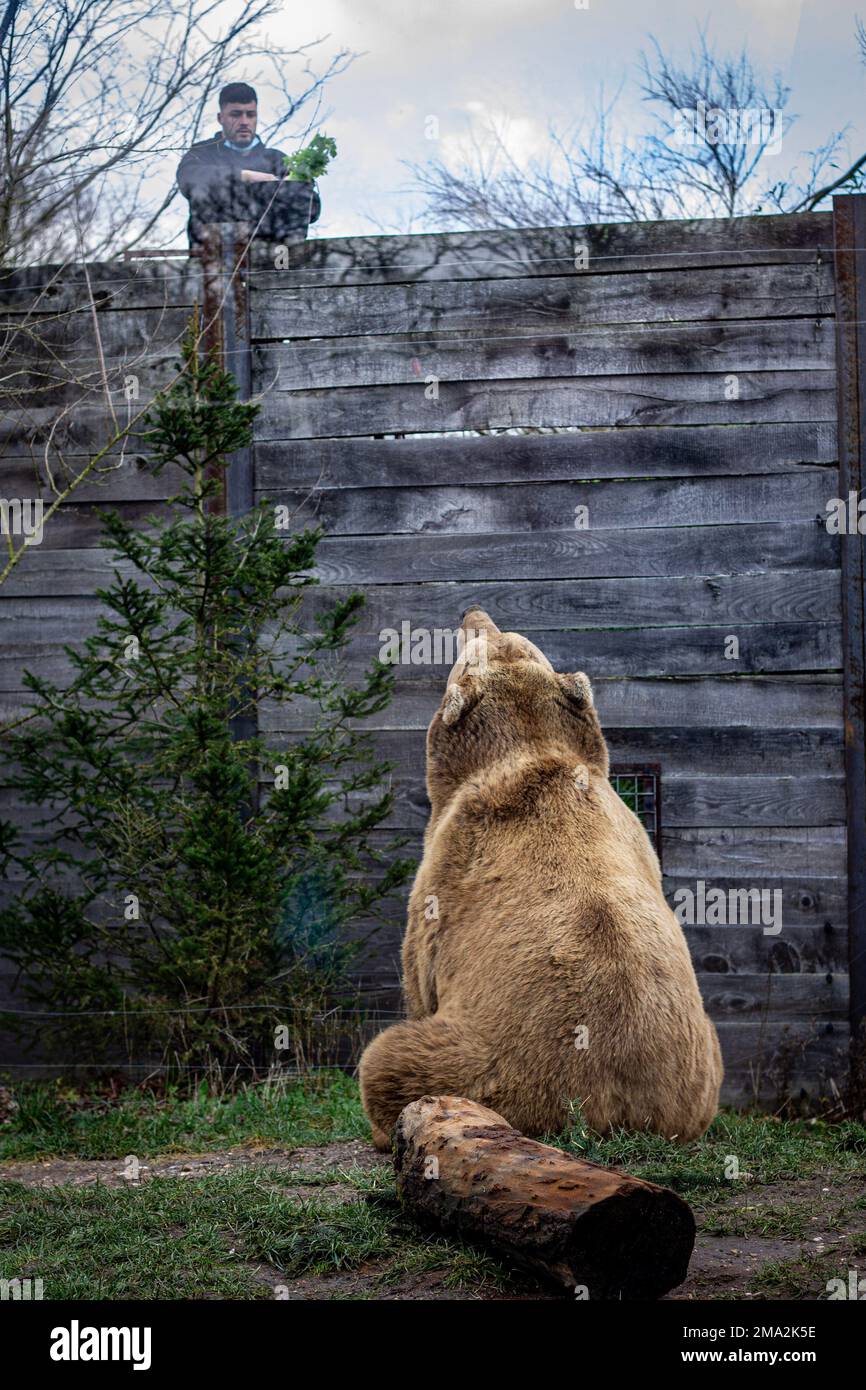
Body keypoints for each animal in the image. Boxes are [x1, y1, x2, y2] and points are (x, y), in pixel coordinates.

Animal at [358, 608, 722, 1150]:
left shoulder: (447, 871)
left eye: (473, 645)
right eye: (502, 634)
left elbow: (418, 975)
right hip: (700, 1063)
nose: (472, 613)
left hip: (488, 1064)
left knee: (386, 1061)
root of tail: (620, 1111)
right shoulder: (633, 832)